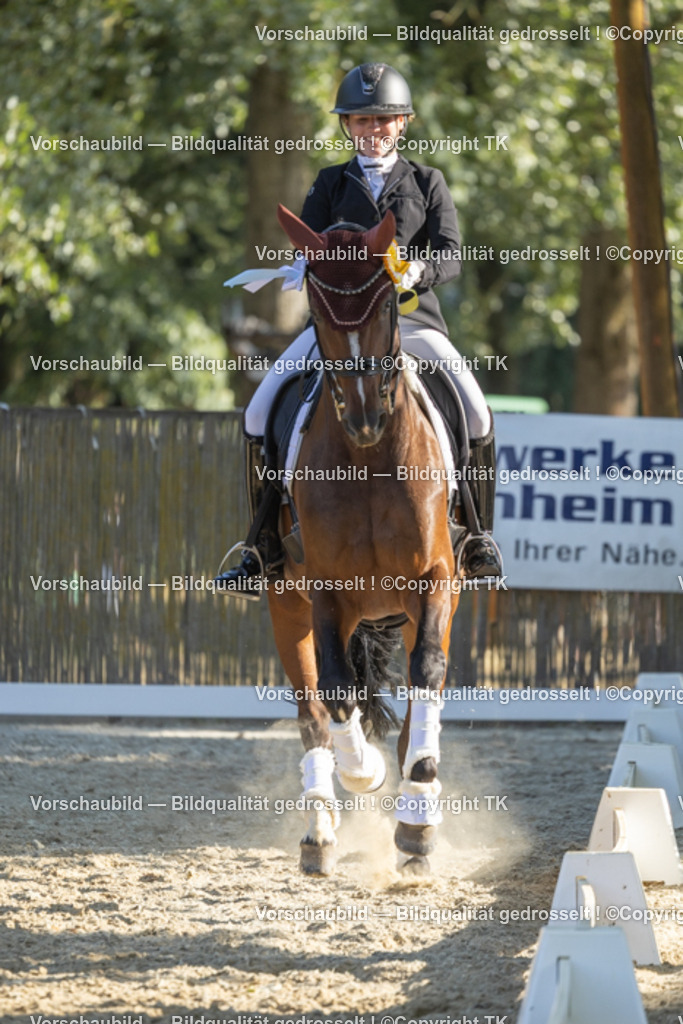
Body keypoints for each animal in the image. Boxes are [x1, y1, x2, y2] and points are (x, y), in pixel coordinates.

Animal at [267, 204, 460, 876]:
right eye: (321, 313)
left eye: (383, 308)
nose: (364, 418)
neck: (370, 460)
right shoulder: (326, 591)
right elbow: (334, 691)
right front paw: (363, 772)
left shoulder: (435, 580)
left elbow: (427, 673)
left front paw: (417, 817)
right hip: (287, 603)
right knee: (311, 711)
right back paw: (320, 833)